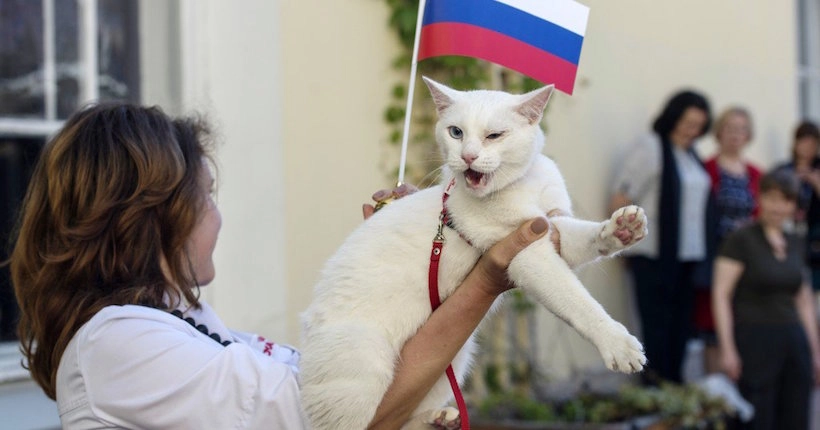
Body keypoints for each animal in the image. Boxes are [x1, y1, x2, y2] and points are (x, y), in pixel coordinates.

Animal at [300, 78, 648, 430]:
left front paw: (621, 229)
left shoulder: (553, 230)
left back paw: (437, 419)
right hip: (362, 365)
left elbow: (585, 238)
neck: (522, 185)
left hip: (452, 358)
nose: (467, 156)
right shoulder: (528, 253)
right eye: (456, 132)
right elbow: (577, 302)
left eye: (494, 135)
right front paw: (617, 344)